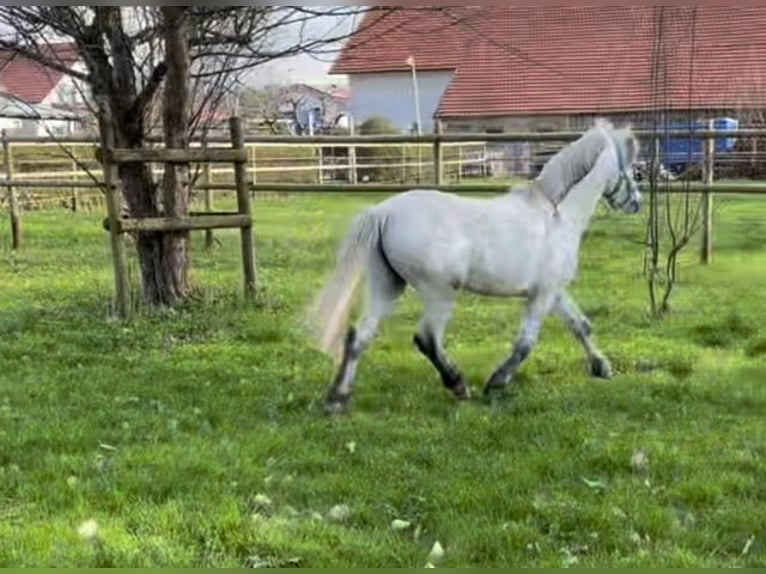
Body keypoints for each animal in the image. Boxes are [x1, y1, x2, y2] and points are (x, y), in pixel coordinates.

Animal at [306, 119, 640, 414]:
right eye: (629, 167)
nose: (636, 202)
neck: (558, 216)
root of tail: (382, 213)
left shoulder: (554, 291)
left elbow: (580, 325)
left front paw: (603, 368)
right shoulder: (542, 294)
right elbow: (526, 343)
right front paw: (496, 383)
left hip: (387, 285)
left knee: (358, 337)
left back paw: (337, 399)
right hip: (439, 292)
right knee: (426, 338)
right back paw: (458, 385)